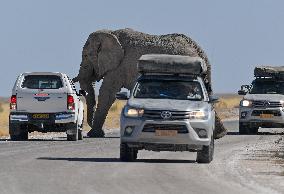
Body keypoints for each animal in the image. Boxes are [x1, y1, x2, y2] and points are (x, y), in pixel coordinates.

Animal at [73, 28, 226, 139]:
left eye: (86, 56)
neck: (111, 32)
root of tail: (199, 51)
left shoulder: (119, 67)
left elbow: (107, 93)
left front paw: (93, 135)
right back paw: (219, 135)